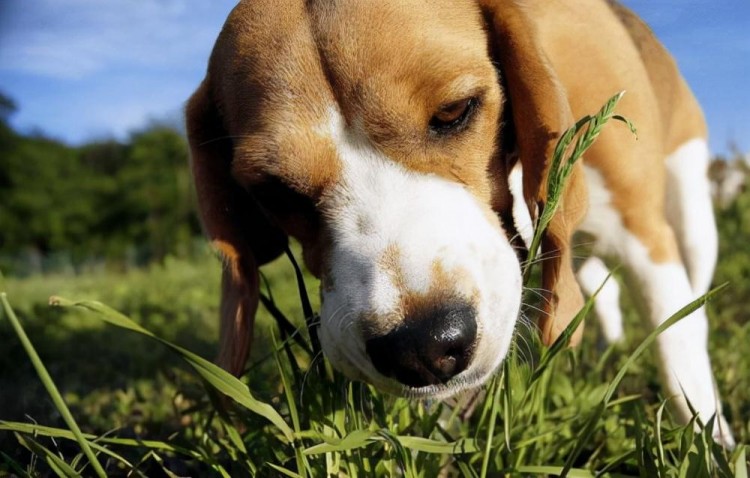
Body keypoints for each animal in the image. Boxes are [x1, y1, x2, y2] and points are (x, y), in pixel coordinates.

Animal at [187, 0, 736, 444]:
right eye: (274, 190)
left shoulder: (644, 235)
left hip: (691, 213)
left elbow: (677, 345)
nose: (422, 348)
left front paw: (708, 443)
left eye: (454, 111)